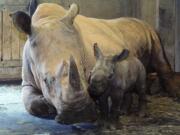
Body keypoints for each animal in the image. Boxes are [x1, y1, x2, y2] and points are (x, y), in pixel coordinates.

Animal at [10, 2, 180, 124]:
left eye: (85, 70)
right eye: (46, 81)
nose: (78, 114)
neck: (48, 20)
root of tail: (141, 21)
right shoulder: (28, 78)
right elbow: (31, 102)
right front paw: (47, 105)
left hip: (149, 31)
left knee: (160, 61)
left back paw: (173, 95)